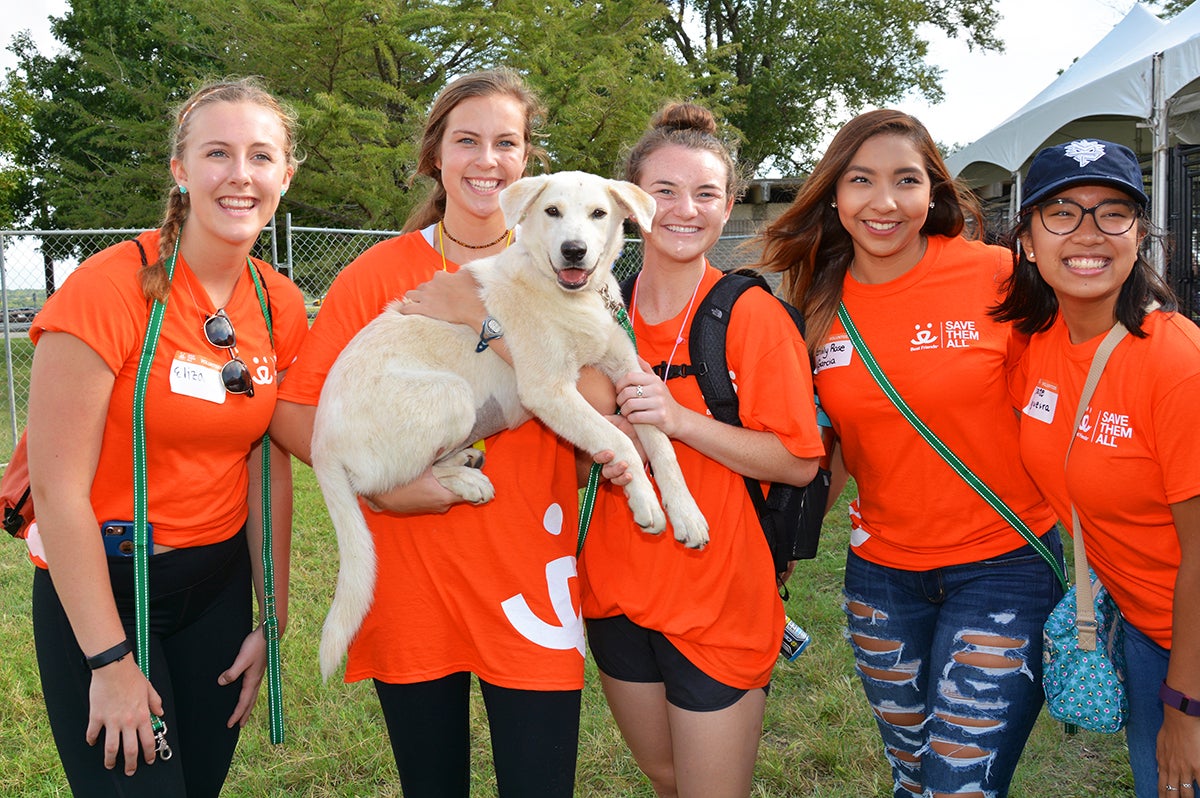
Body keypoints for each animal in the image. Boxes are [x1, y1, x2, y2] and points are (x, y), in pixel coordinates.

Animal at [309, 171, 705, 676]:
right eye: (552, 211)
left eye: (599, 213)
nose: (574, 251)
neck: (571, 297)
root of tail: (320, 443)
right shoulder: (548, 390)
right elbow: (620, 439)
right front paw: (645, 501)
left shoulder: (630, 376)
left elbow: (663, 447)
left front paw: (686, 514)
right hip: (453, 396)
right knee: (388, 481)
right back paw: (466, 481)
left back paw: (466, 461)